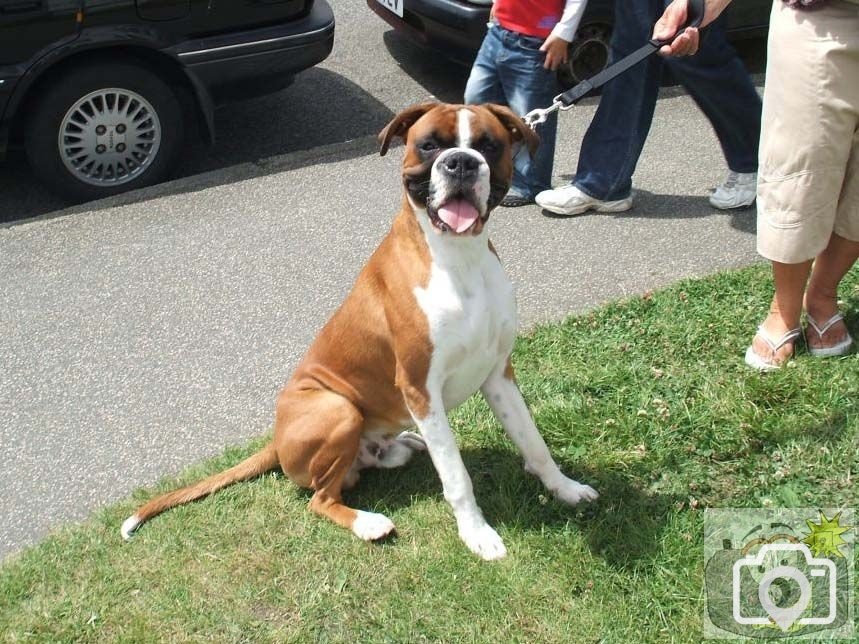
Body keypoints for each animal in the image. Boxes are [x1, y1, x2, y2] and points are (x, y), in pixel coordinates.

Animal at [122, 100, 596, 560]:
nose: (460, 162)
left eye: (488, 145)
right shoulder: (421, 389)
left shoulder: (498, 373)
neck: (458, 258)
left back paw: (402, 445)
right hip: (339, 408)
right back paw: (368, 522)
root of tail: (275, 441)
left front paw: (565, 489)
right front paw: (476, 534)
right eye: (429, 145)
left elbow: (533, 442)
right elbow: (457, 476)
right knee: (321, 497)